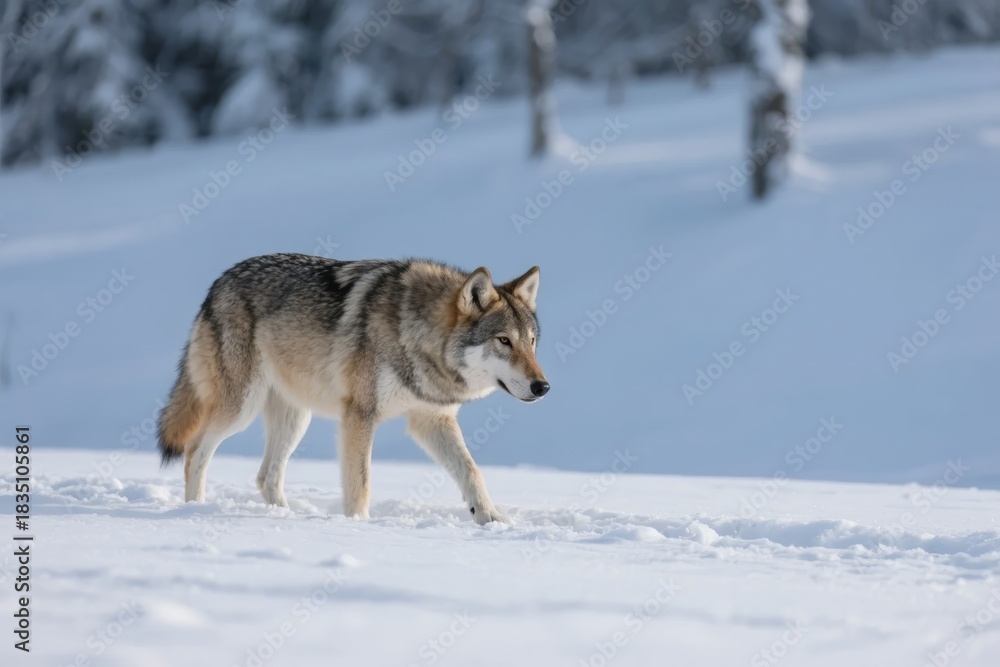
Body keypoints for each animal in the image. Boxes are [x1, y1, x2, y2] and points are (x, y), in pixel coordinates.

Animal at [156, 254, 548, 525]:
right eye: (503, 341)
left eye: (531, 342)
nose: (543, 386)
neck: (415, 335)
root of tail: (218, 283)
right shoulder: (360, 415)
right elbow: (361, 481)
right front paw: (358, 526)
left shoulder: (432, 419)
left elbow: (471, 470)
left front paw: (490, 518)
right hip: (242, 408)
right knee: (195, 450)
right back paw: (195, 509)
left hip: (295, 419)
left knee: (266, 476)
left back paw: (284, 518)